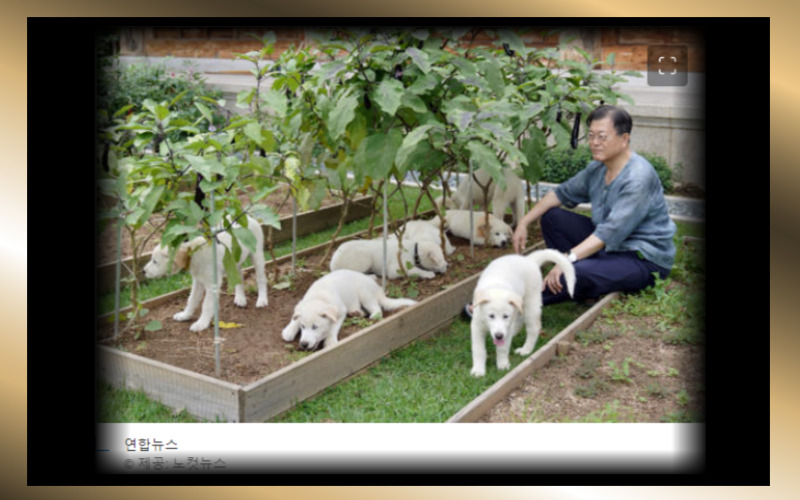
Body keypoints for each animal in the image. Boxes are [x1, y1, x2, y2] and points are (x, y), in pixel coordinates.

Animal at [282, 270, 418, 352]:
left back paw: (374, 315)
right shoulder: (301, 305)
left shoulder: (340, 311)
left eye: (315, 327)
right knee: (364, 310)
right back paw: (356, 313)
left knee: (377, 308)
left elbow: (333, 328)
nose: (304, 344)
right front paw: (289, 331)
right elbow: (295, 318)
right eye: (302, 327)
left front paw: (330, 341)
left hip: (365, 294)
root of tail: (379, 290)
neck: (319, 297)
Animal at [468, 248, 576, 376]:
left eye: (505, 316)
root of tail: (530, 260)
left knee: (533, 328)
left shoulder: (507, 325)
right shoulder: (477, 326)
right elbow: (478, 350)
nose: (499, 336)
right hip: (519, 306)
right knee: (519, 322)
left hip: (530, 304)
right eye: (491, 316)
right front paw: (478, 370)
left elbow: (502, 348)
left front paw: (503, 364)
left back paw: (525, 350)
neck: (497, 287)